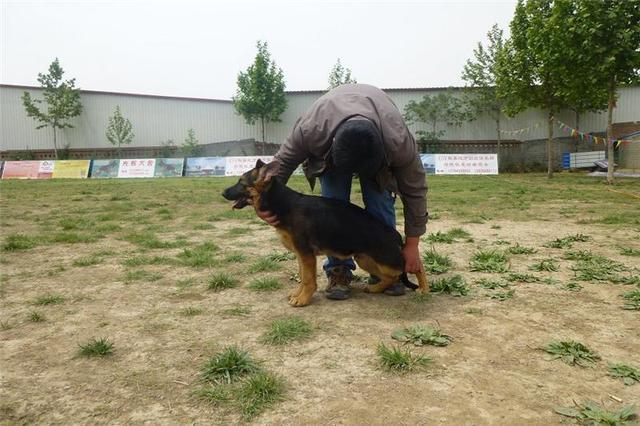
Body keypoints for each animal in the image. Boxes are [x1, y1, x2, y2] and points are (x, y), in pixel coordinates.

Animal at [222, 160, 428, 306]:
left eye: (241, 182)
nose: (222, 193)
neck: (283, 203)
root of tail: (395, 235)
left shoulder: (306, 254)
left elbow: (308, 279)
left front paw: (303, 299)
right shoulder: (301, 255)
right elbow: (302, 278)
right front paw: (298, 294)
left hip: (386, 261)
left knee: (414, 267)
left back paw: (424, 289)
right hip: (365, 259)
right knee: (390, 277)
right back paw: (376, 288)